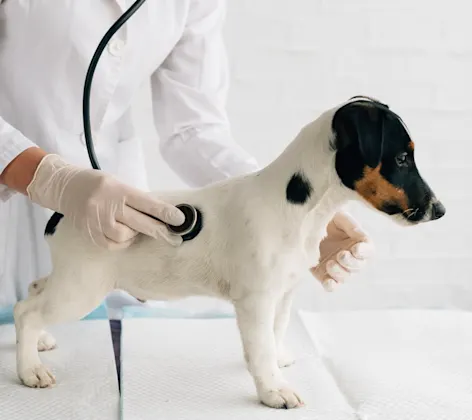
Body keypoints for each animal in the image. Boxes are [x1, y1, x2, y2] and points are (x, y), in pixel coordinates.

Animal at [12, 95, 446, 406]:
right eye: (402, 157)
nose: (440, 211)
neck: (299, 206)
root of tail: (62, 213)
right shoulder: (255, 299)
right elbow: (259, 347)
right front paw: (274, 391)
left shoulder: (282, 294)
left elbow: (273, 335)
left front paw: (277, 360)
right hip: (82, 287)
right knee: (26, 311)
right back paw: (30, 370)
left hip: (70, 279)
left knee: (32, 292)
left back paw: (39, 344)